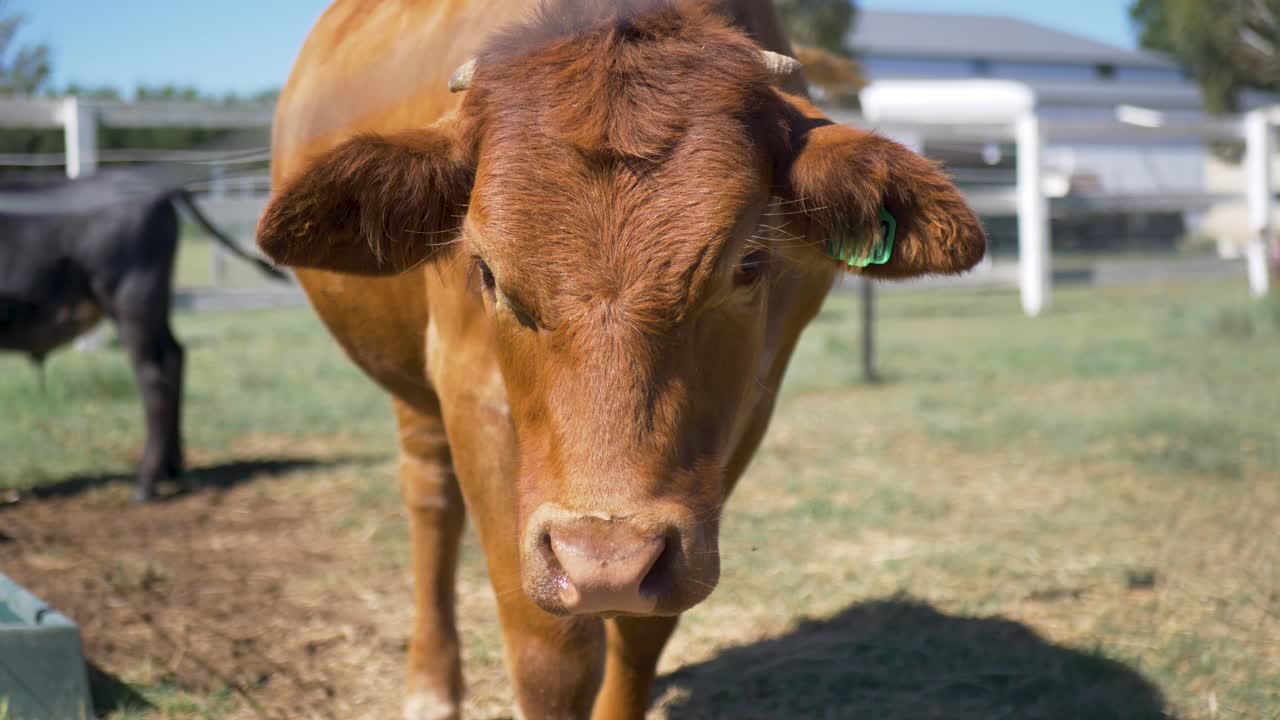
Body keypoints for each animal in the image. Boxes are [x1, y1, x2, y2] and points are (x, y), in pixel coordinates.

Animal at [1, 167, 285, 501]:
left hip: (131, 299)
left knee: (153, 376)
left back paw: (146, 482)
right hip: (155, 304)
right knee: (174, 356)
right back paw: (170, 469)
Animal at [257, 0, 986, 717]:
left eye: (749, 262)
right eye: (486, 270)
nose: (604, 562)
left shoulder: (744, 414)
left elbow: (641, 630)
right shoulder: (473, 398)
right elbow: (551, 651)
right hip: (411, 383)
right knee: (430, 497)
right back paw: (432, 688)